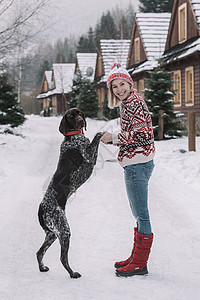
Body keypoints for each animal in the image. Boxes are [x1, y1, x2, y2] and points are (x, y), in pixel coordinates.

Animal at [36, 108, 104, 278]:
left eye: (80, 113)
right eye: (71, 116)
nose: (81, 121)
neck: (73, 135)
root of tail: (41, 209)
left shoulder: (91, 157)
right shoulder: (89, 156)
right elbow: (95, 139)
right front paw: (101, 132)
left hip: (52, 234)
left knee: (39, 252)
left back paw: (42, 267)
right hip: (64, 231)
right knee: (62, 258)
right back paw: (73, 273)